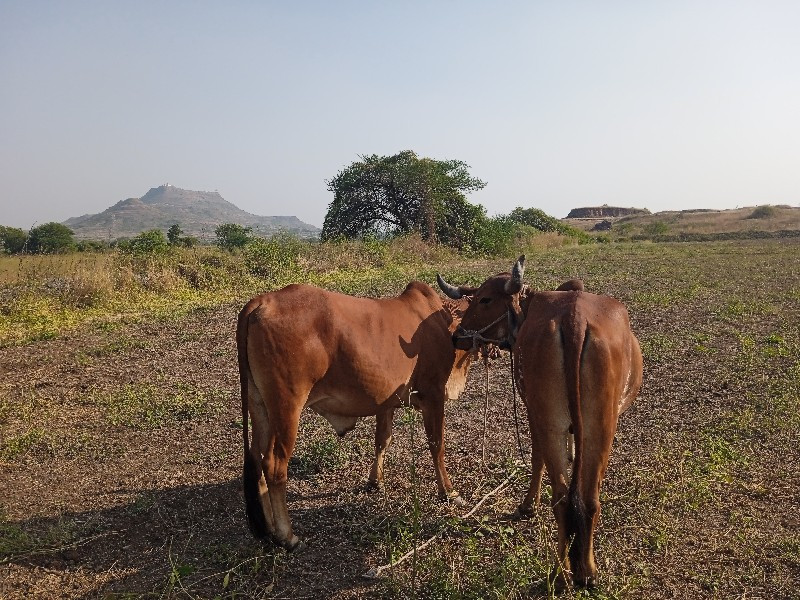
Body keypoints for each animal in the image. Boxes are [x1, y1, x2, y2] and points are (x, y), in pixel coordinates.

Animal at [238, 280, 476, 548]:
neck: (440, 319)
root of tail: (261, 302)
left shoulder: (386, 402)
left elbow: (382, 440)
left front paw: (375, 481)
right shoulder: (433, 394)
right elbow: (437, 446)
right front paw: (449, 491)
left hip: (259, 406)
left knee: (257, 459)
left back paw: (268, 527)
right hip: (287, 407)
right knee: (274, 465)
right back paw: (287, 535)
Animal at [438, 256, 644, 584]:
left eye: (485, 299)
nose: (457, 336)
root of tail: (574, 320)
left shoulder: (532, 410)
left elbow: (536, 459)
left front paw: (528, 505)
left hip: (565, 422)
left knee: (569, 497)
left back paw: (569, 572)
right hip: (596, 426)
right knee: (578, 498)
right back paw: (578, 572)